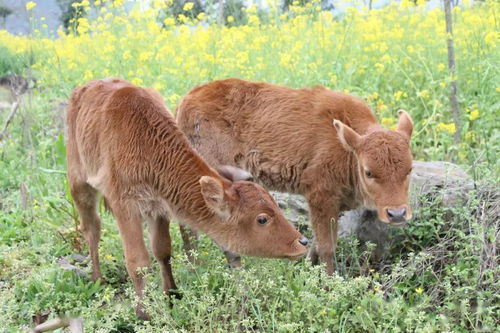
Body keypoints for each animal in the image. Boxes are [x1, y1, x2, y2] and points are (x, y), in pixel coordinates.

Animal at [65, 77, 308, 316]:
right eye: (262, 219)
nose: (302, 241)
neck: (147, 143)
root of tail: (83, 88)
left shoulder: (158, 207)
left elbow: (162, 251)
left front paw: (172, 295)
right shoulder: (125, 206)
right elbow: (138, 261)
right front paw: (143, 313)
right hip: (79, 184)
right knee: (92, 228)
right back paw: (97, 280)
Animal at [176, 77, 414, 272]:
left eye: (410, 169)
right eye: (368, 171)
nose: (397, 214)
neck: (345, 147)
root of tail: (187, 99)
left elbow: (316, 243)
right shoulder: (321, 197)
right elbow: (327, 247)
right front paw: (328, 283)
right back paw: (202, 267)